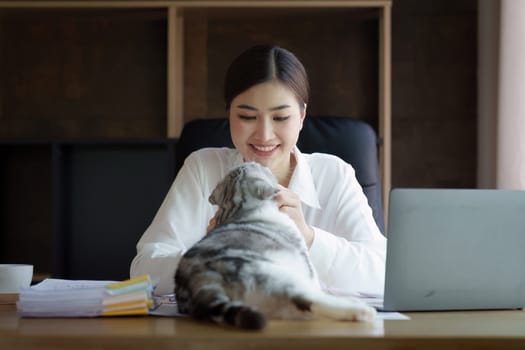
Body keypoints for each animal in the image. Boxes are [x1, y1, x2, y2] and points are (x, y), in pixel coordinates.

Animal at [174, 162, 374, 330]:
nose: (260, 163)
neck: (238, 211)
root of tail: (198, 283)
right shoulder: (304, 261)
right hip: (278, 274)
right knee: (308, 298)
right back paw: (359, 310)